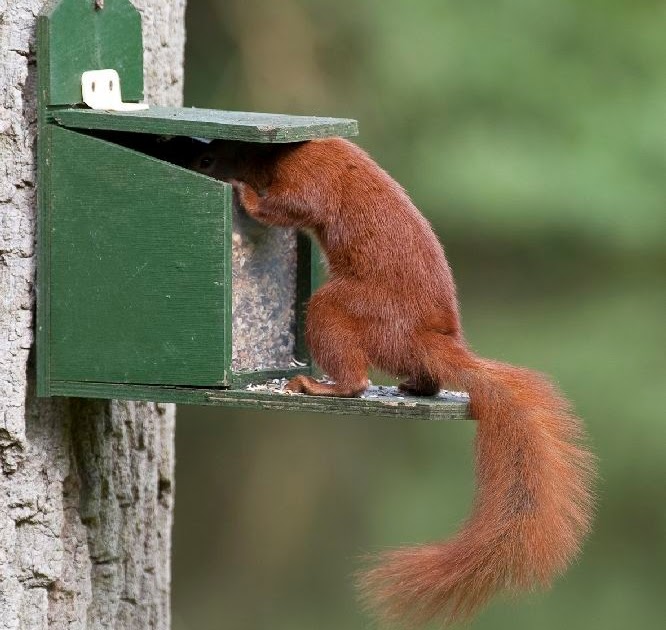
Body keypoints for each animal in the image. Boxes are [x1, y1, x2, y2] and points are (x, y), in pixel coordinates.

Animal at [189, 138, 592, 628]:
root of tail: (427, 339)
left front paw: (244, 194)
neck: (279, 154)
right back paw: (411, 388)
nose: (196, 164)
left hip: (341, 310)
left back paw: (320, 386)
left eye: (207, 159)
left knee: (356, 380)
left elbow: (285, 208)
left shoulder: (309, 180)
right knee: (424, 379)